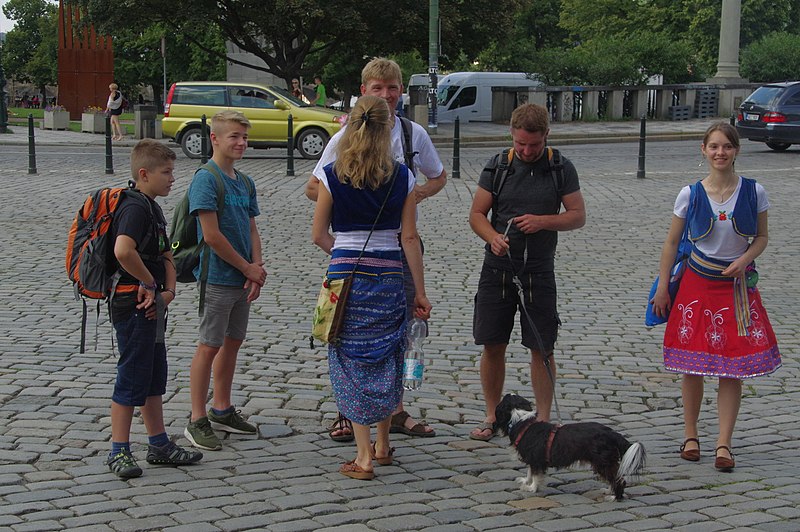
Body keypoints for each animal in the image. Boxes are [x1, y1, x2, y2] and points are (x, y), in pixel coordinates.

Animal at [490, 392, 648, 500]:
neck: (521, 421)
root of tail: (612, 433)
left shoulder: (536, 461)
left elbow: (535, 475)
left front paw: (531, 488)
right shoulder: (532, 459)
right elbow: (529, 473)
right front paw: (526, 482)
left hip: (603, 463)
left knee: (619, 480)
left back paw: (614, 497)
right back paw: (609, 491)